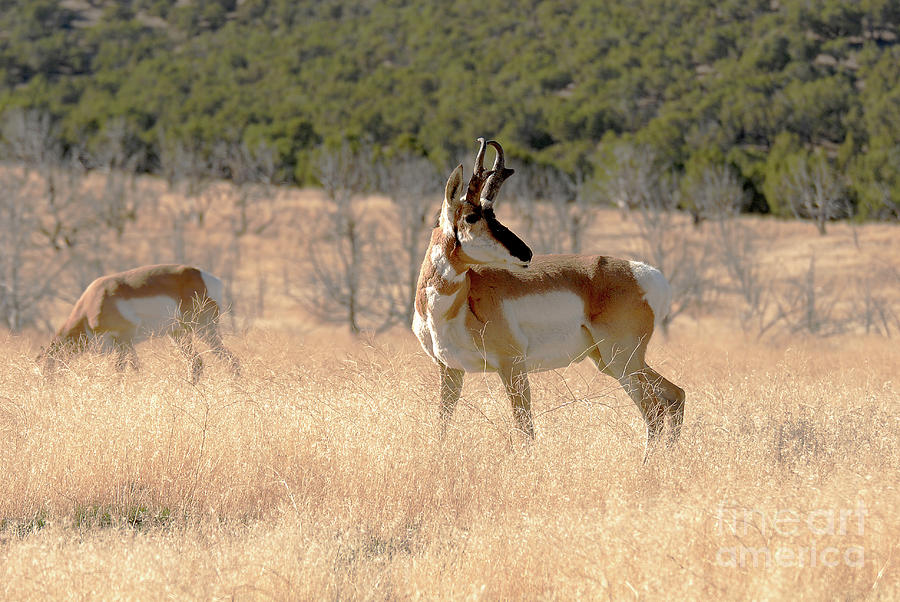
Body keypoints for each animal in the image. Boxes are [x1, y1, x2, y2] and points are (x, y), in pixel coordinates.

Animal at [39, 264, 239, 382]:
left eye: (48, 368)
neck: (93, 303)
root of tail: (208, 278)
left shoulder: (124, 338)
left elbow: (123, 369)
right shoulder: (125, 344)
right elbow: (134, 367)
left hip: (203, 331)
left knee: (231, 359)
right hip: (178, 334)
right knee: (196, 362)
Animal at [412, 138, 684, 458]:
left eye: (492, 215)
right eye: (472, 216)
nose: (526, 253)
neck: (454, 304)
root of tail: (645, 273)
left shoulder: (512, 366)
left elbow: (525, 428)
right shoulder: (450, 370)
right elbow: (442, 423)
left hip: (622, 361)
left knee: (655, 410)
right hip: (613, 362)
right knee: (674, 396)